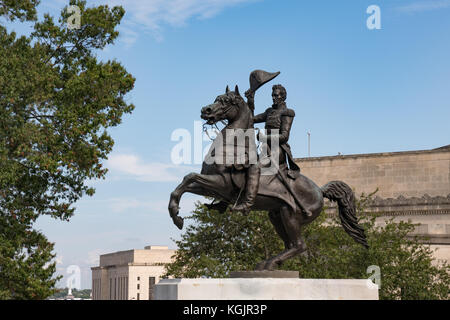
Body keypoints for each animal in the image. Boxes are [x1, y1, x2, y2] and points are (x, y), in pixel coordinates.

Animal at [167, 85, 368, 270]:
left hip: (291, 215)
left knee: (300, 245)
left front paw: (176, 216)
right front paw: (176, 216)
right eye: (216, 98)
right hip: (276, 215)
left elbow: (190, 177)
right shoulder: (212, 187)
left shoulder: (222, 184)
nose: (205, 110)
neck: (232, 146)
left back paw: (269, 262)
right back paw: (267, 263)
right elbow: (184, 183)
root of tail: (320, 190)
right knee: (290, 245)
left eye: (226, 101)